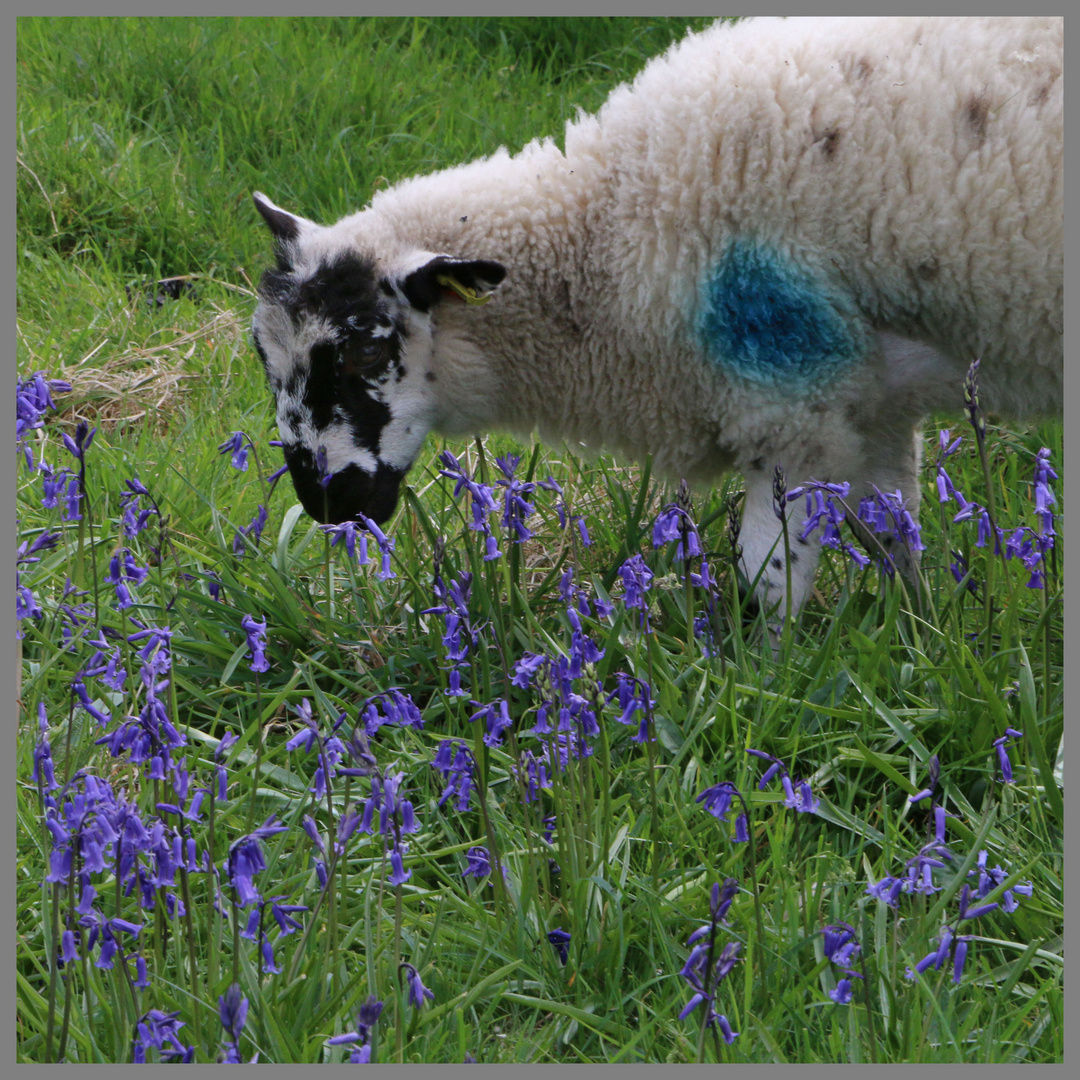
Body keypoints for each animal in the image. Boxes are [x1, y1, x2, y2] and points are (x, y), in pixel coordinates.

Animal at [247, 14, 1062, 617]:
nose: (325, 504)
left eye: (362, 354)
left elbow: (768, 577)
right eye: (266, 361)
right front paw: (918, 640)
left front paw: (768, 685)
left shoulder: (791, 398)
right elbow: (895, 533)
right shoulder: (874, 394)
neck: (608, 226)